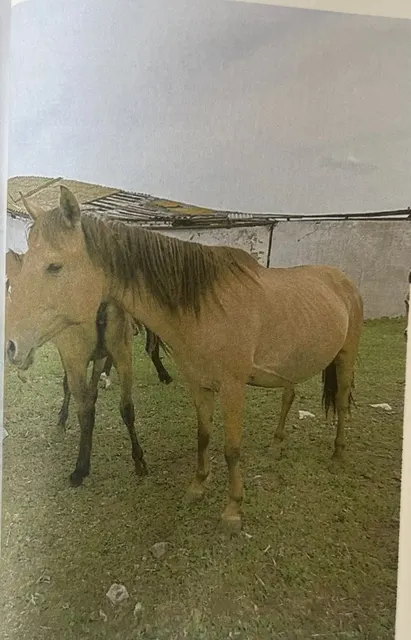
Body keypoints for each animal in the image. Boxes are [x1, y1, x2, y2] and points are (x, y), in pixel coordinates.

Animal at [6, 248, 172, 479]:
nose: (13, 347)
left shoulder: (71, 356)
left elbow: (71, 389)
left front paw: (62, 419)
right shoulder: (102, 355)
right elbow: (94, 395)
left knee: (85, 409)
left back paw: (80, 469)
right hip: (122, 354)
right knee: (126, 407)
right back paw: (138, 460)